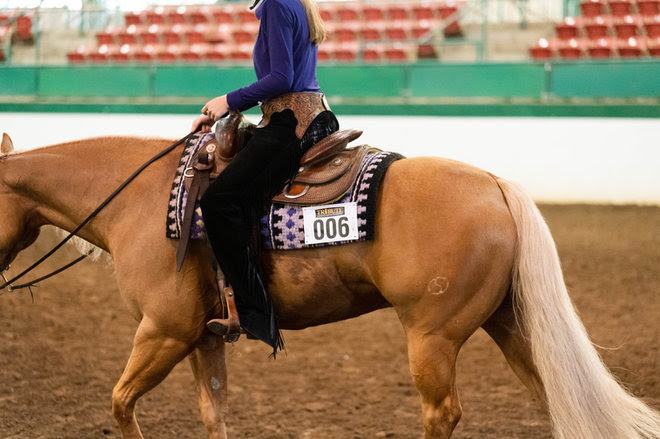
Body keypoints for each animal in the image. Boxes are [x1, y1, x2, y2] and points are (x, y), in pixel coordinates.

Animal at [0, 131, 658, 439]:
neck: (139, 200)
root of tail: (496, 185)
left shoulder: (162, 331)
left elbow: (120, 402)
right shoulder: (203, 337)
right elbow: (212, 414)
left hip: (433, 337)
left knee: (442, 412)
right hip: (510, 322)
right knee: (551, 392)